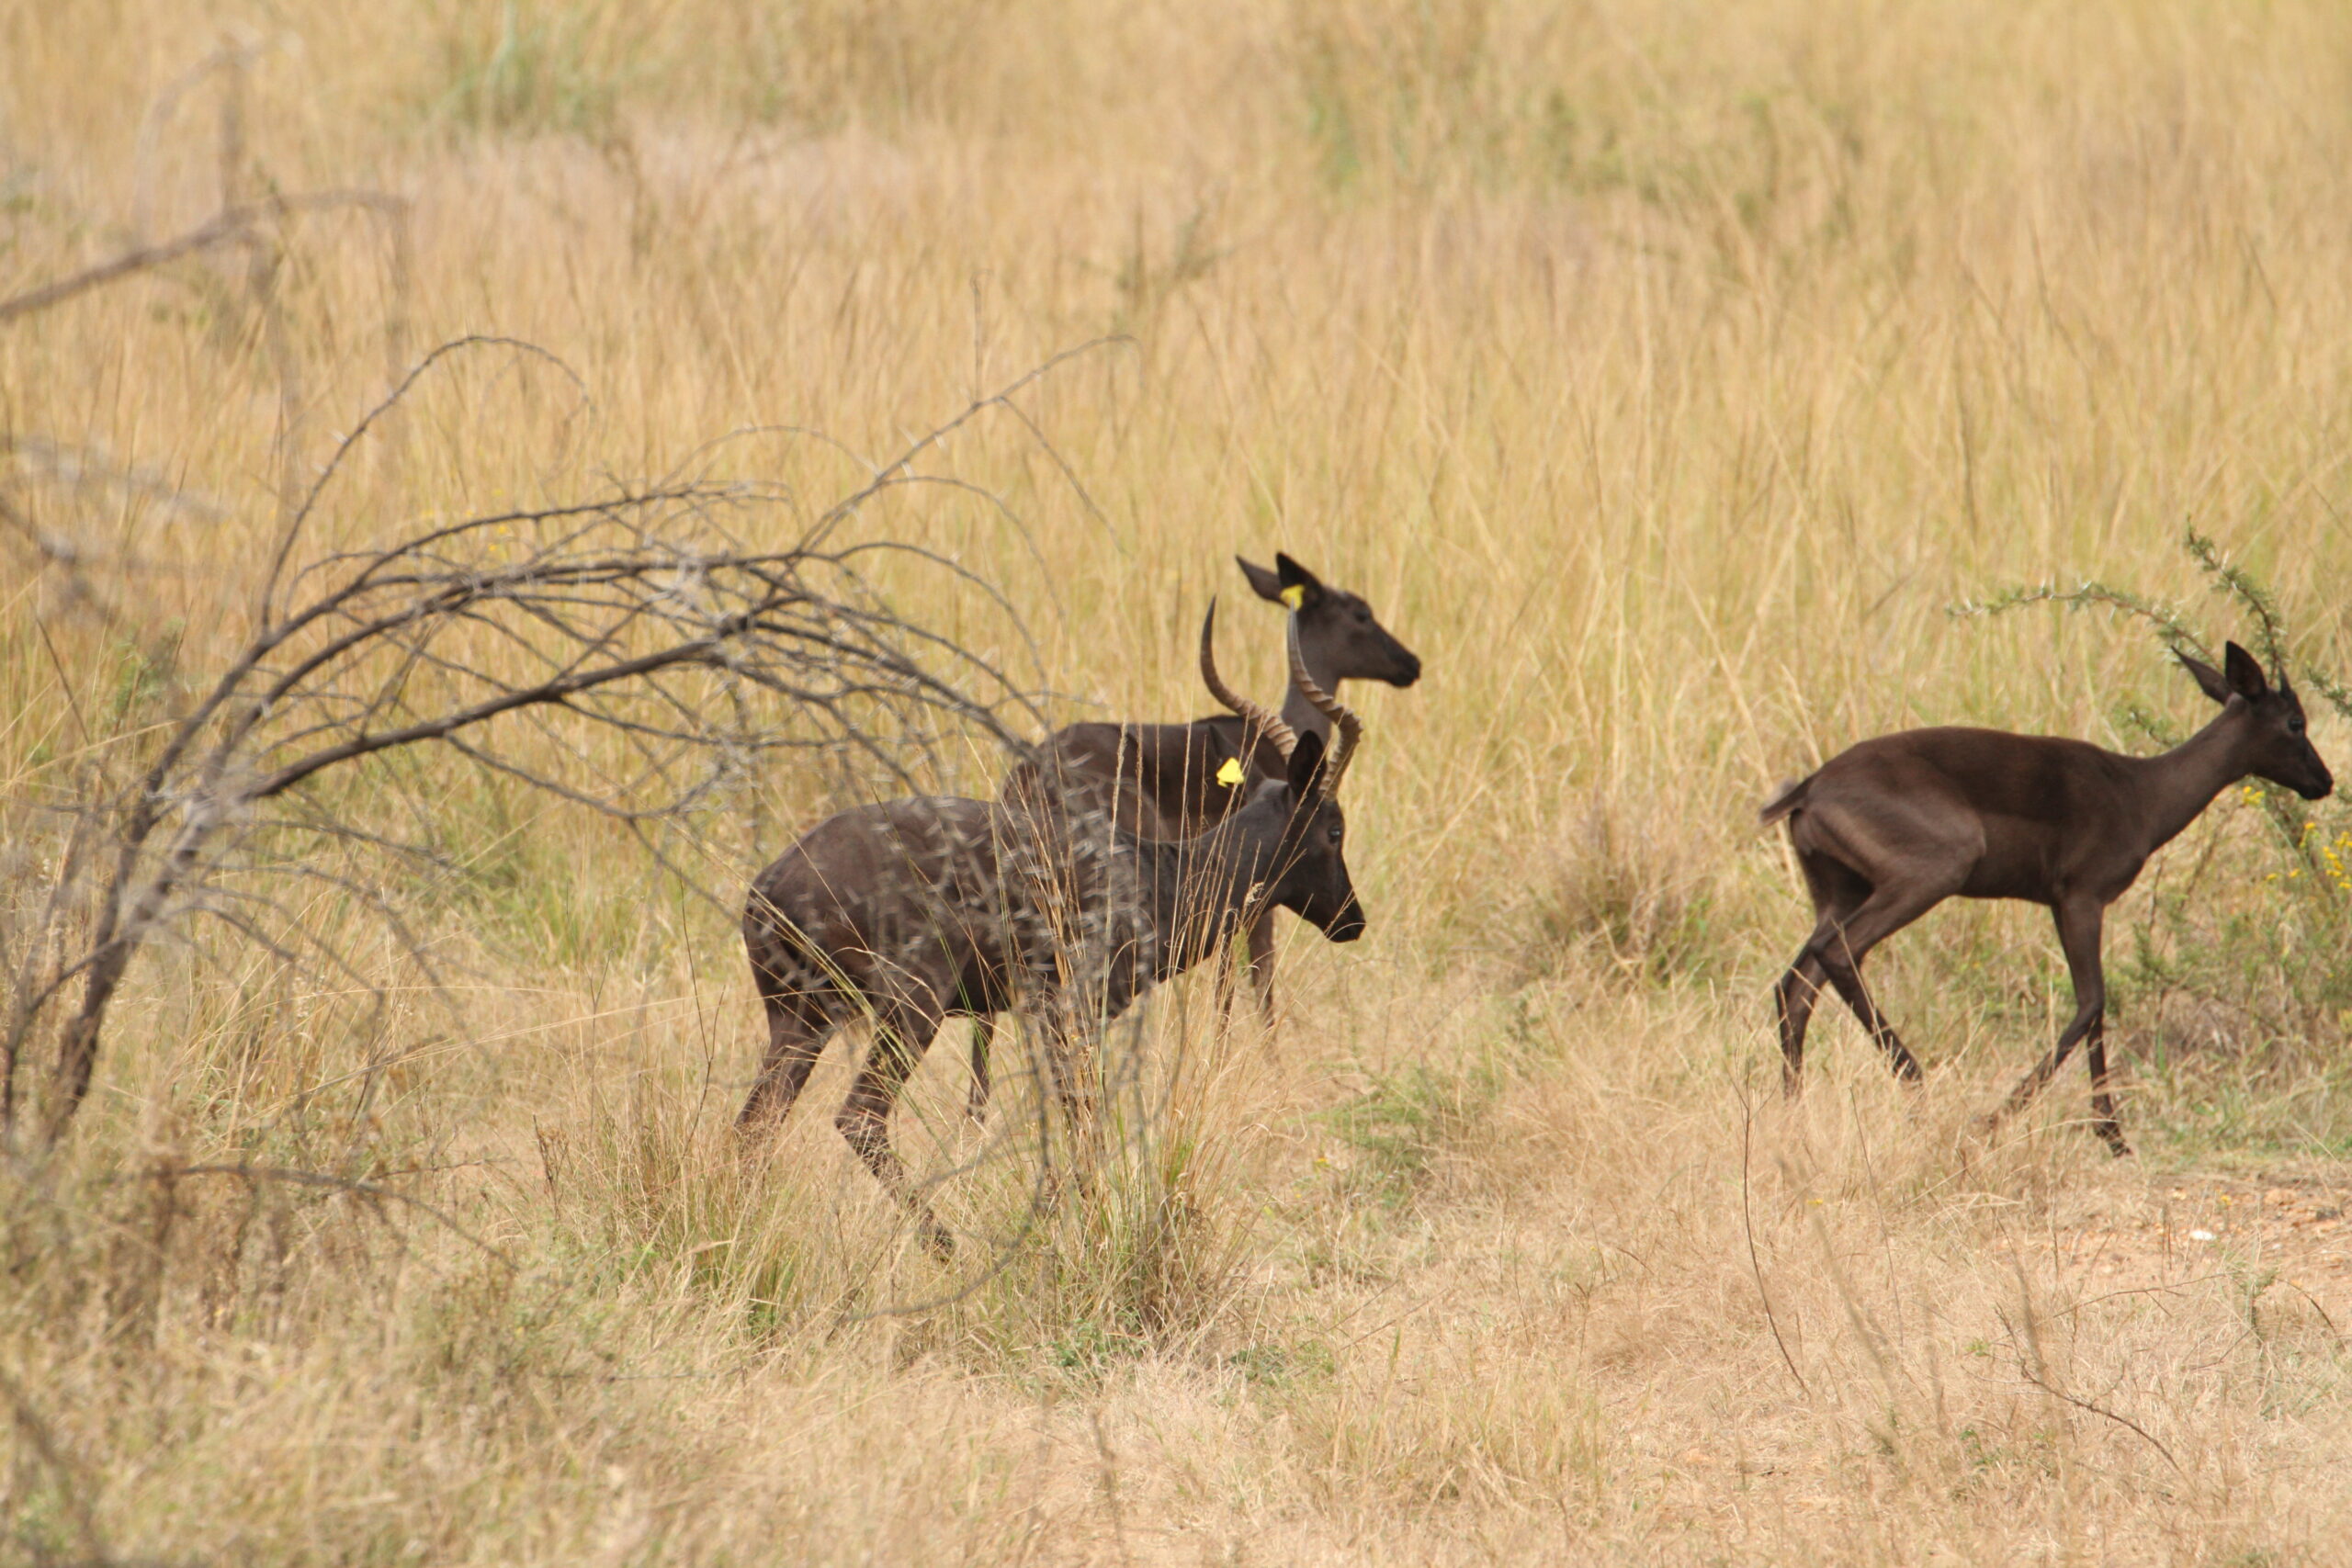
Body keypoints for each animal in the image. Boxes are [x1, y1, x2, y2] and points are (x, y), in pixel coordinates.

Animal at [739, 605, 1368, 1254]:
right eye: (1335, 828)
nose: (1353, 920)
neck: (1159, 873)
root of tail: (772, 884)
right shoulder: (1074, 1013)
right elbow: (1084, 1125)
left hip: (801, 1020)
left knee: (753, 1128)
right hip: (910, 1009)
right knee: (858, 1117)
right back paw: (949, 1249)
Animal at [1763, 642, 2333, 1153]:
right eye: (2295, 722)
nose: (2323, 781)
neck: (2141, 793)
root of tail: (1808, 790)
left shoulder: (2065, 906)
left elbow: (2095, 1006)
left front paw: (2113, 1135)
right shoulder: (2082, 898)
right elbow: (2092, 1001)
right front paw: (2002, 1121)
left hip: (1839, 894)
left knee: (1797, 982)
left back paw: (1795, 1119)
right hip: (1928, 876)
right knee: (1836, 956)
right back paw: (1921, 1090)